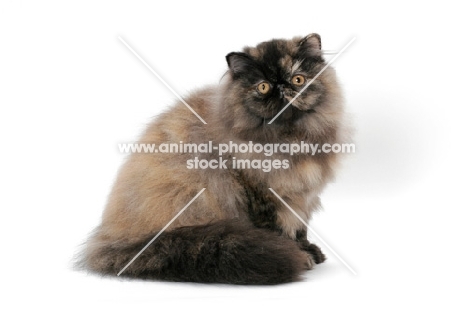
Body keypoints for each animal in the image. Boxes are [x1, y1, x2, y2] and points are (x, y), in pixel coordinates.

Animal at [77, 33, 348, 286]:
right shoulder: (263, 196)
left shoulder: (301, 196)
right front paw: (299, 256)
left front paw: (310, 251)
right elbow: (280, 230)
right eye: (262, 87)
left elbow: (300, 229)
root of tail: (110, 239)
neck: (290, 139)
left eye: (297, 79)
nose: (281, 88)